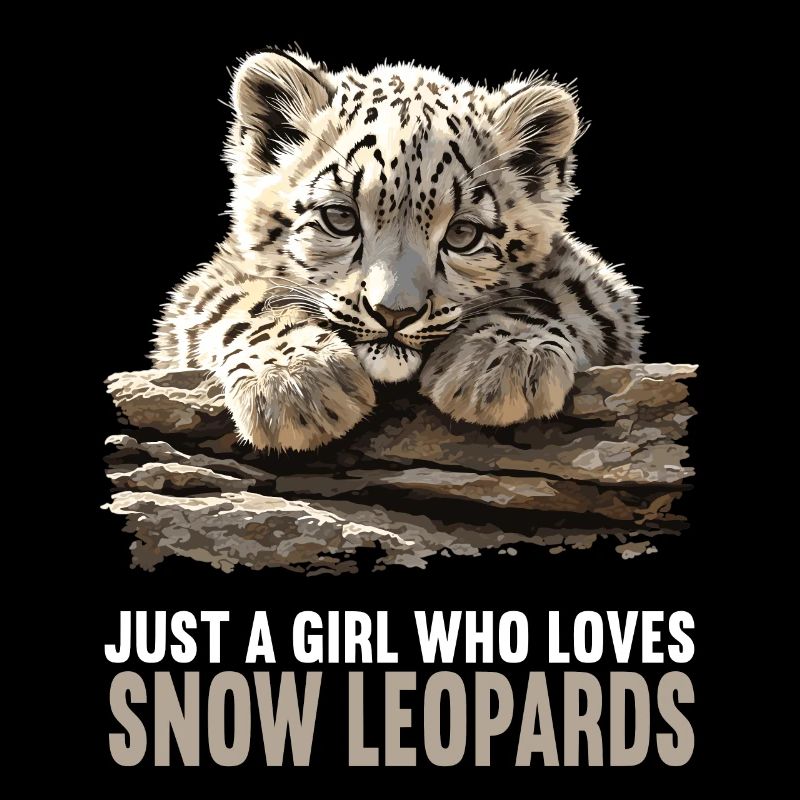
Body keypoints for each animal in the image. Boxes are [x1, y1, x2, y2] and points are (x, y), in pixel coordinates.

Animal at [152, 48, 643, 451]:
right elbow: (242, 299)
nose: (394, 313)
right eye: (341, 217)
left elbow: (555, 294)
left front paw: (501, 363)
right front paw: (294, 384)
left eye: (463, 233)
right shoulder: (203, 288)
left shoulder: (601, 285)